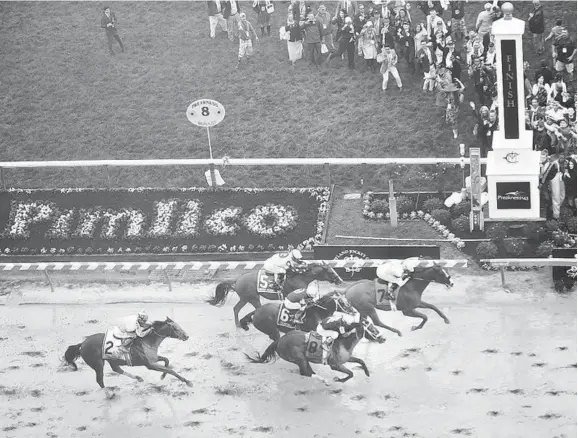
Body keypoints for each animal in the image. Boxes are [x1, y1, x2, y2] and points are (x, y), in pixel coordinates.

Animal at [62, 316, 190, 398]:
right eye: (175, 328)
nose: (187, 336)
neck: (147, 341)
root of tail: (82, 344)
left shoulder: (153, 359)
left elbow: (167, 361)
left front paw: (162, 376)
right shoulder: (149, 364)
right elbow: (171, 370)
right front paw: (188, 382)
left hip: (111, 360)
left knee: (117, 369)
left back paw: (138, 378)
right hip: (98, 364)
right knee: (100, 380)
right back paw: (109, 395)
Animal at [207, 262, 342, 326]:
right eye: (331, 271)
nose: (340, 280)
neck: (300, 276)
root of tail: (237, 280)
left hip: (245, 298)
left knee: (236, 309)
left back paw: (238, 325)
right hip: (253, 298)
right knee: (255, 309)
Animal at [246, 318, 384, 384]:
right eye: (372, 328)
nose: (383, 338)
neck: (344, 343)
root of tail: (280, 340)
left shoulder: (346, 358)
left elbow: (360, 361)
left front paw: (367, 373)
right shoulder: (335, 365)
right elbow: (351, 374)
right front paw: (338, 379)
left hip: (302, 359)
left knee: (307, 371)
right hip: (299, 358)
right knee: (306, 373)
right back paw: (324, 380)